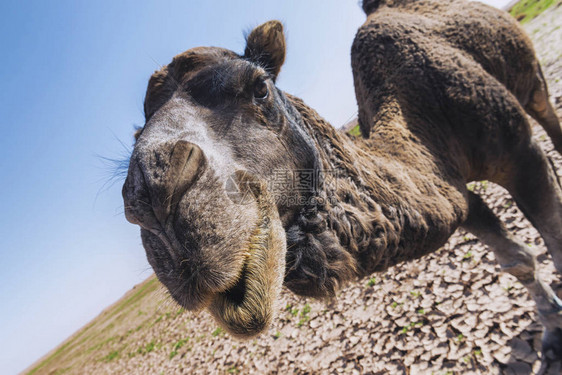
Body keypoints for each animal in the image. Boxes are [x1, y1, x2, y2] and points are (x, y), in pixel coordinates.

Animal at [121, 0, 560, 362]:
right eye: (136, 134)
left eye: (259, 87)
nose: (152, 193)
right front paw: (551, 326)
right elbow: (516, 258)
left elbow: (552, 234)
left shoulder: (519, 151)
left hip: (531, 82)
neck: (419, 118)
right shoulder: (453, 190)